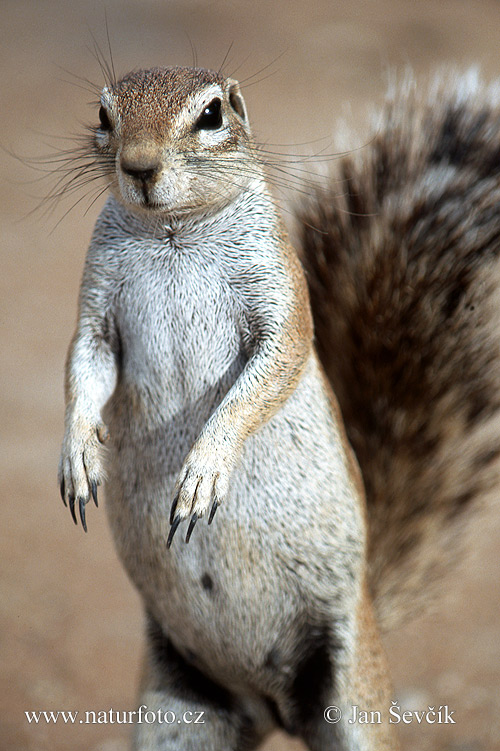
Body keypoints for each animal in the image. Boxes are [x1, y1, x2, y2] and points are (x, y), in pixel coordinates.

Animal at [56, 66, 500, 751]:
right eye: (104, 115)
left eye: (212, 114)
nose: (139, 167)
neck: (171, 232)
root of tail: (271, 705)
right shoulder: (97, 313)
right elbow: (84, 369)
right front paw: (79, 455)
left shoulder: (279, 305)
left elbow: (266, 376)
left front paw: (204, 470)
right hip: (178, 713)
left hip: (351, 698)